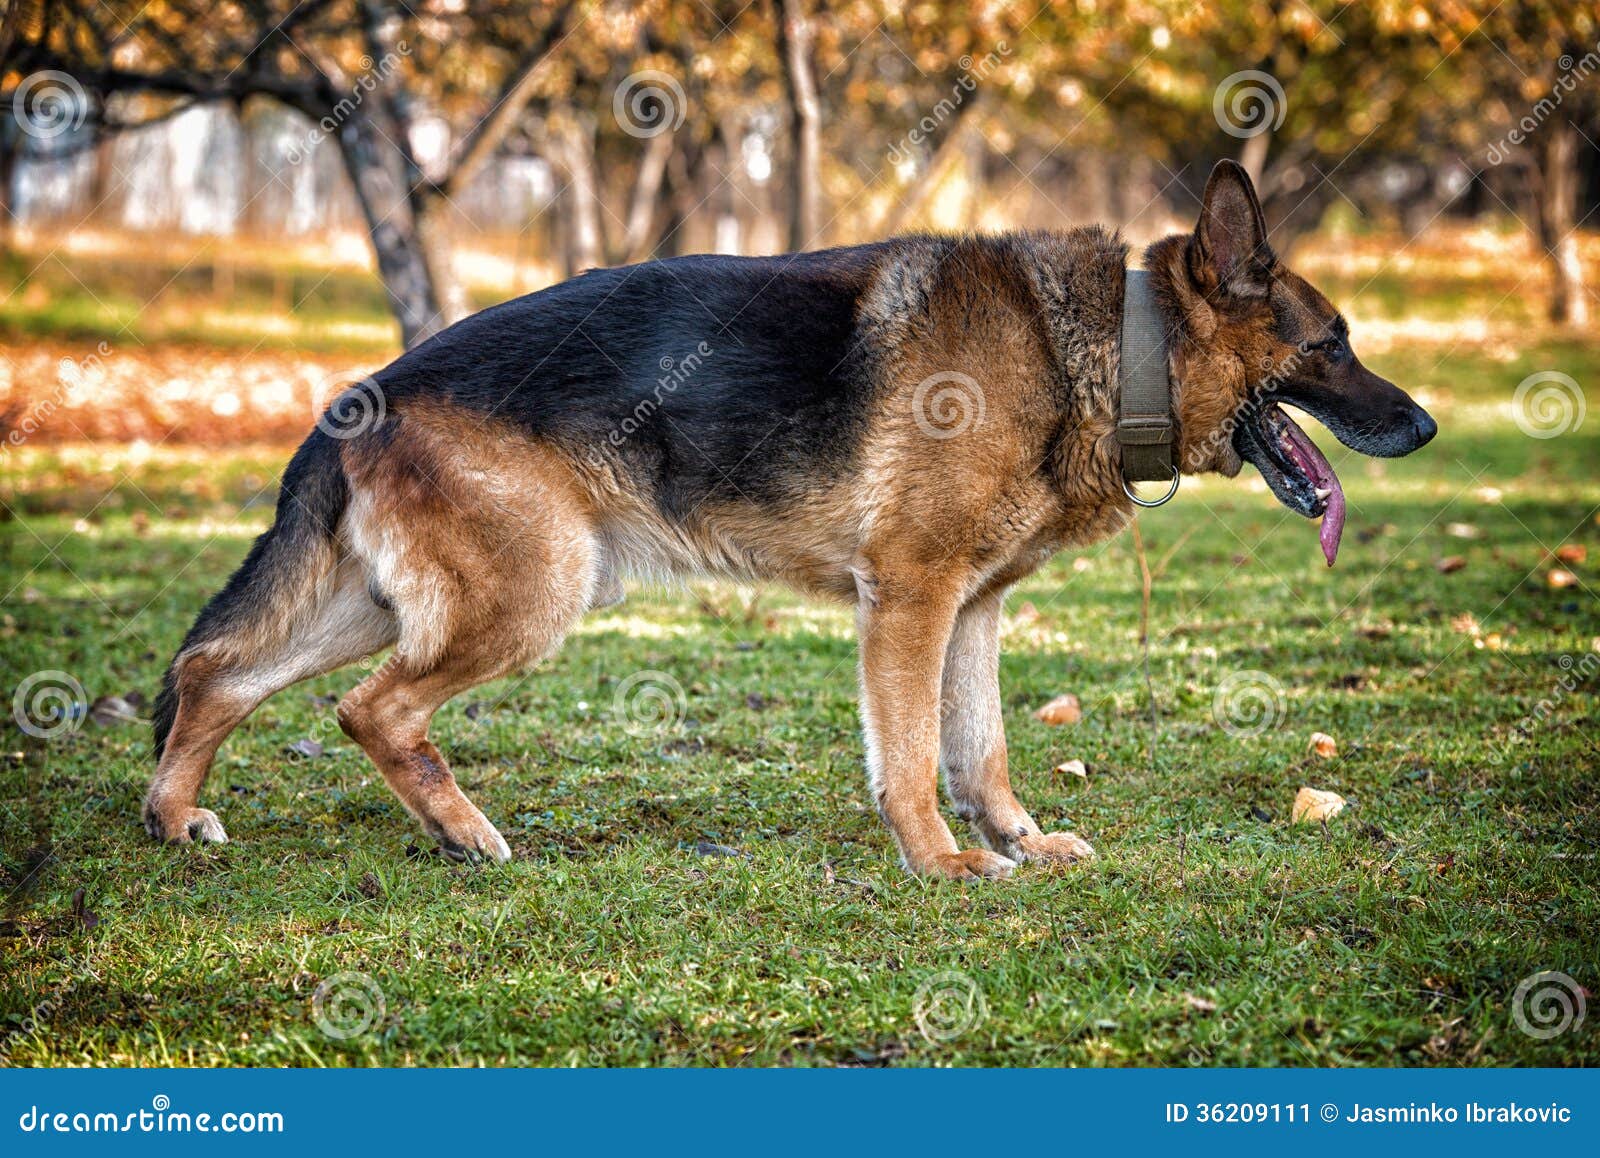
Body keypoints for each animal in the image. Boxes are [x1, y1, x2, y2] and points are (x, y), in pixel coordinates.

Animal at [147, 160, 1440, 876]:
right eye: (1333, 346)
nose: (1423, 425)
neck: (1103, 345)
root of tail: (362, 392)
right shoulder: (909, 600)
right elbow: (912, 759)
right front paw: (943, 864)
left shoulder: (973, 608)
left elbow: (983, 748)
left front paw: (1016, 842)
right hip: (530, 594)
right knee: (372, 710)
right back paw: (462, 834)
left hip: (388, 601)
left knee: (218, 673)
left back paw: (173, 816)